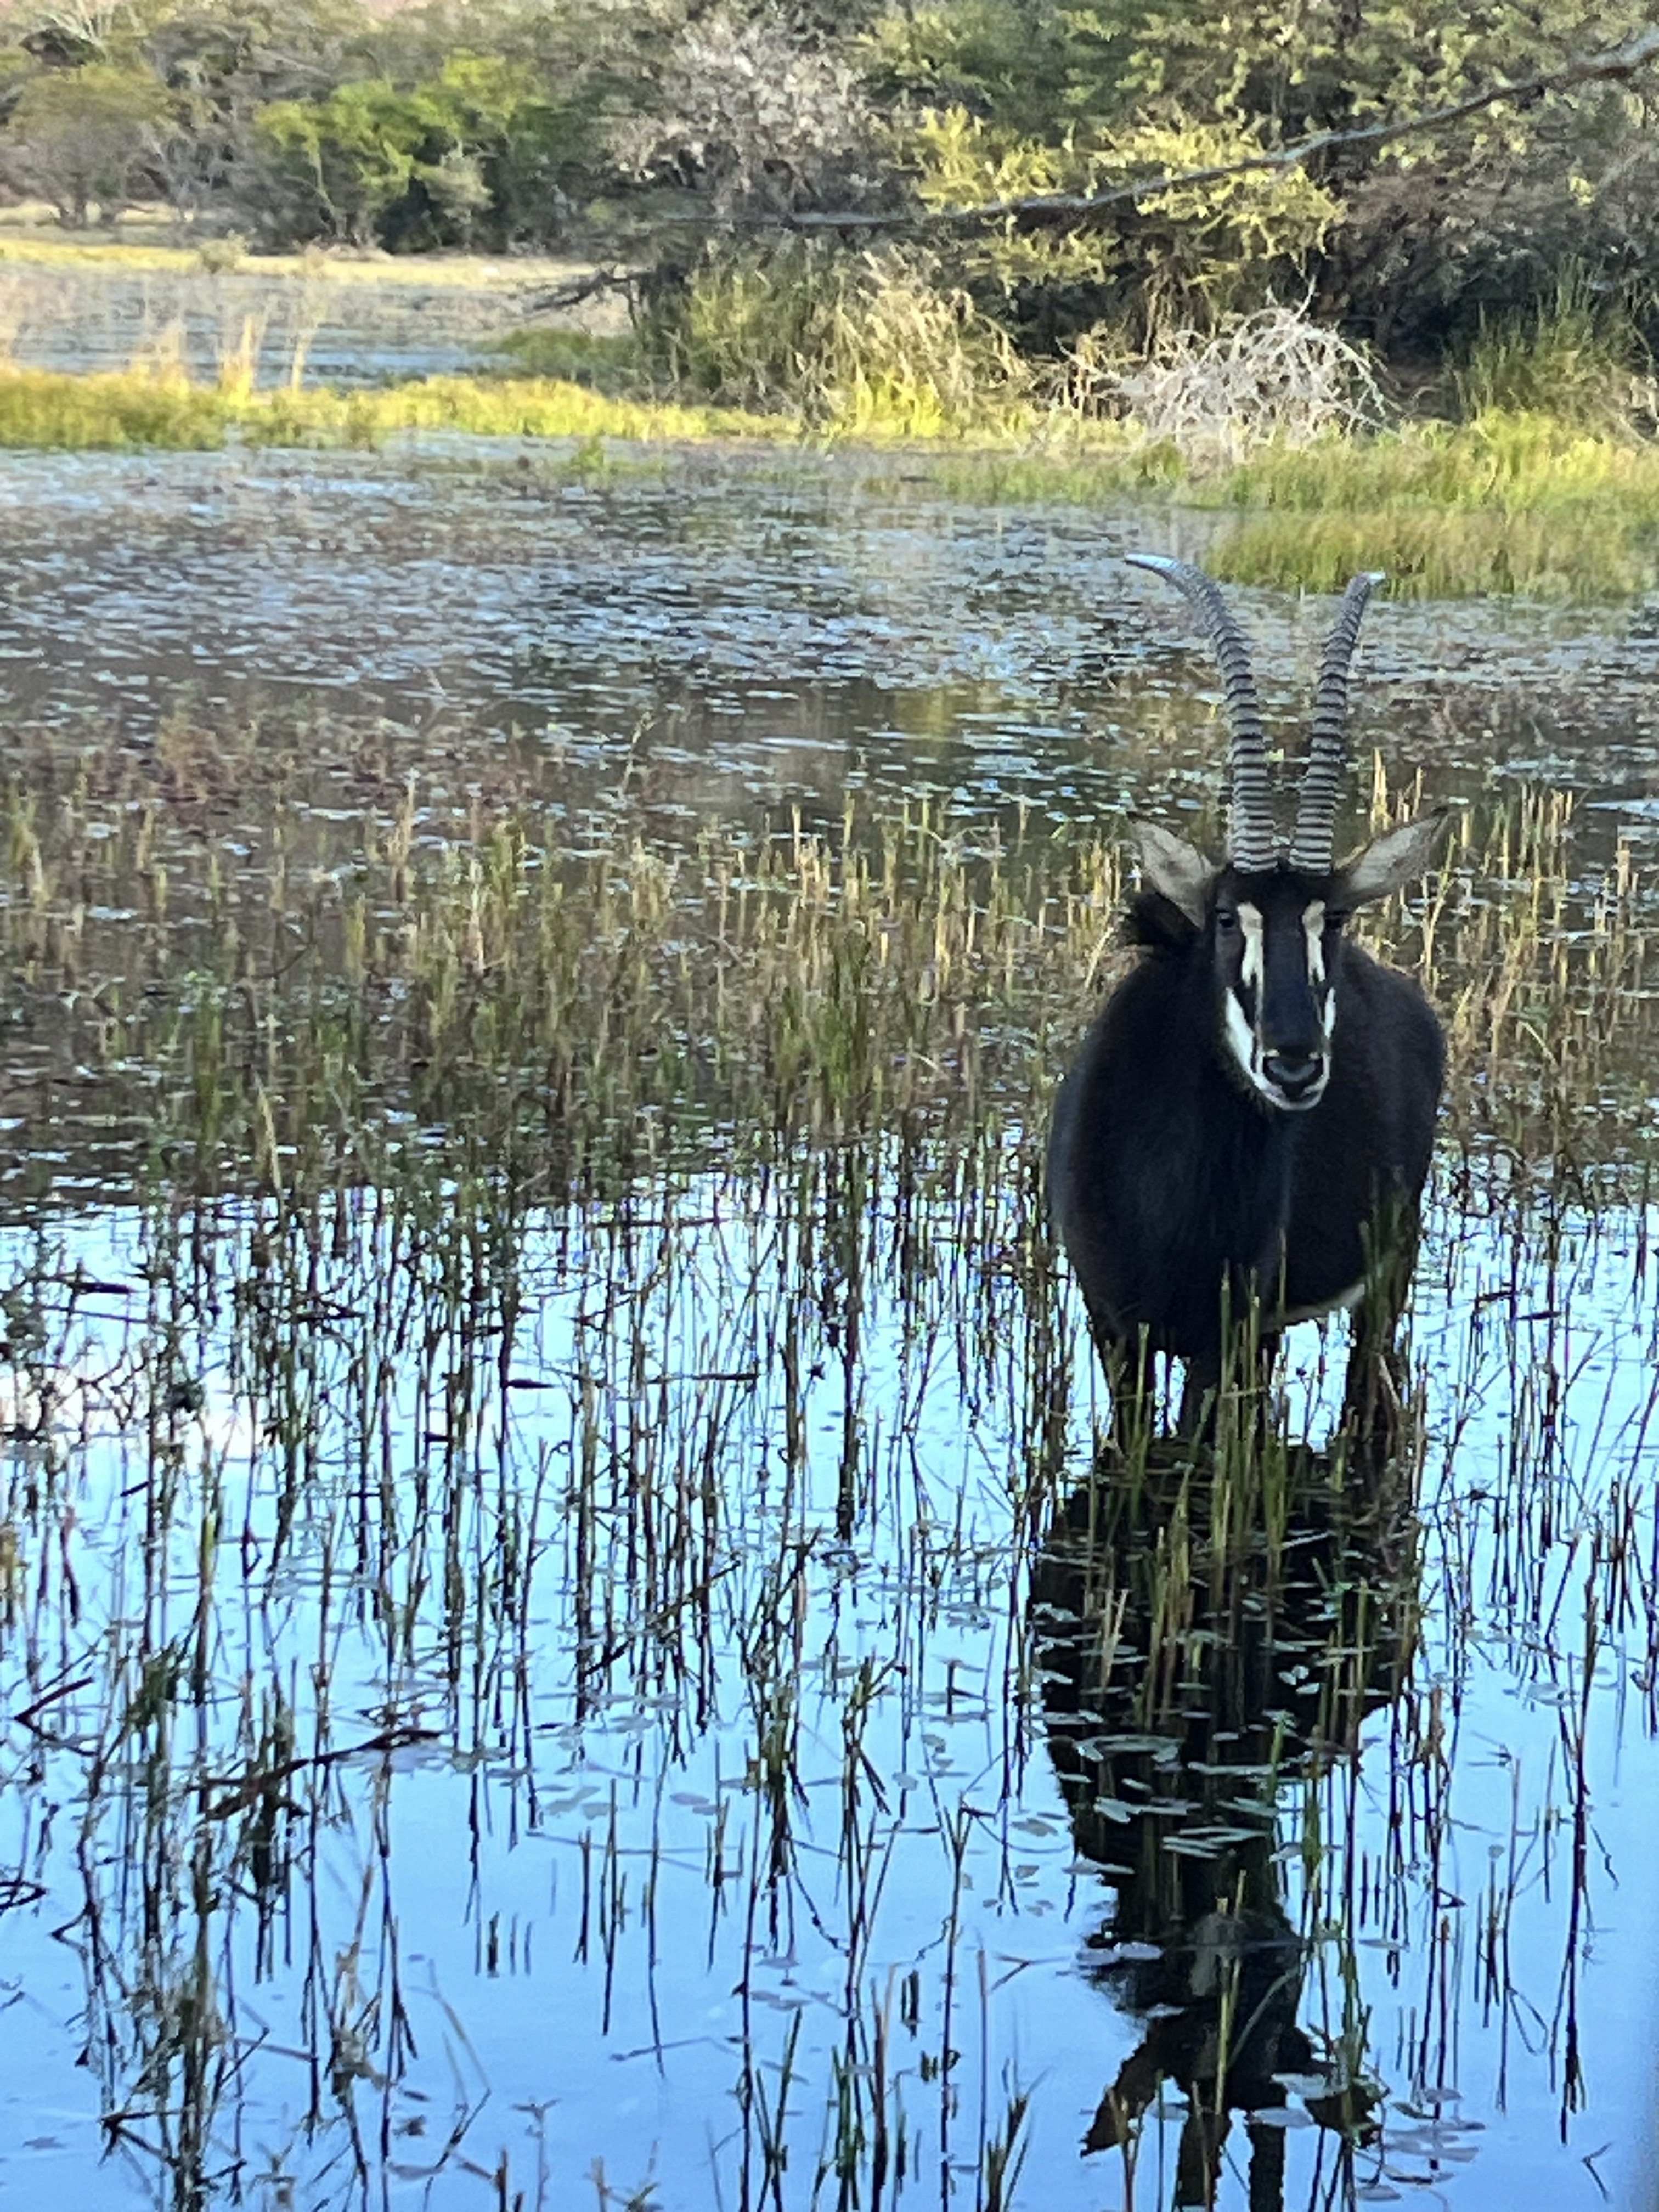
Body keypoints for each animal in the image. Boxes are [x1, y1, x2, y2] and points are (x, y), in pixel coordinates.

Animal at [1047, 556, 1451, 1451]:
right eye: (1230, 918)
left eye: (1334, 919)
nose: (1294, 1063)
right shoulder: (1113, 1328)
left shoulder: (1230, 1337)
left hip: (1383, 1275)